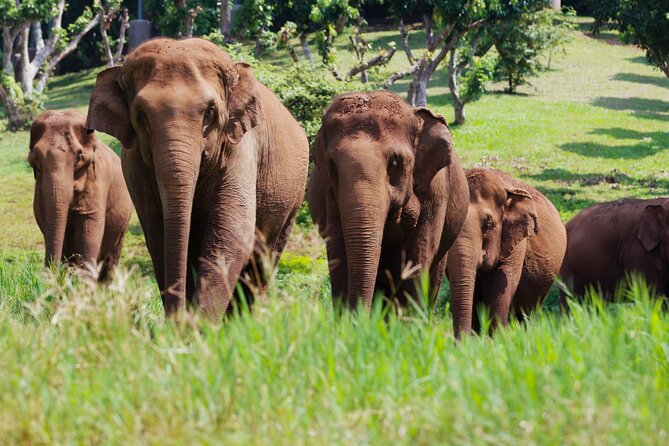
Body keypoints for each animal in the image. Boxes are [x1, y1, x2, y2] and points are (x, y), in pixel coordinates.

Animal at [29, 109, 132, 281]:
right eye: (35, 160)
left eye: (78, 157)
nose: (48, 279)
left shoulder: (98, 181)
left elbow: (89, 228)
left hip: (125, 221)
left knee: (111, 259)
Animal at [85, 38, 309, 318]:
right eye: (141, 114)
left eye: (210, 113)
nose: (177, 319)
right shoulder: (136, 164)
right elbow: (159, 234)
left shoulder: (240, 148)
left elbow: (232, 231)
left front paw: (198, 325)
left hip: (292, 201)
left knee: (264, 256)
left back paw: (241, 320)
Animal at [307, 90, 469, 310]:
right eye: (332, 166)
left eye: (394, 162)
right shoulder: (330, 195)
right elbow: (339, 257)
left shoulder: (435, 191)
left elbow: (417, 260)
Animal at [446, 168, 566, 339]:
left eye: (489, 223)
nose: (461, 342)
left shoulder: (518, 242)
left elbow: (501, 286)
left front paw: (495, 340)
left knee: (524, 315)